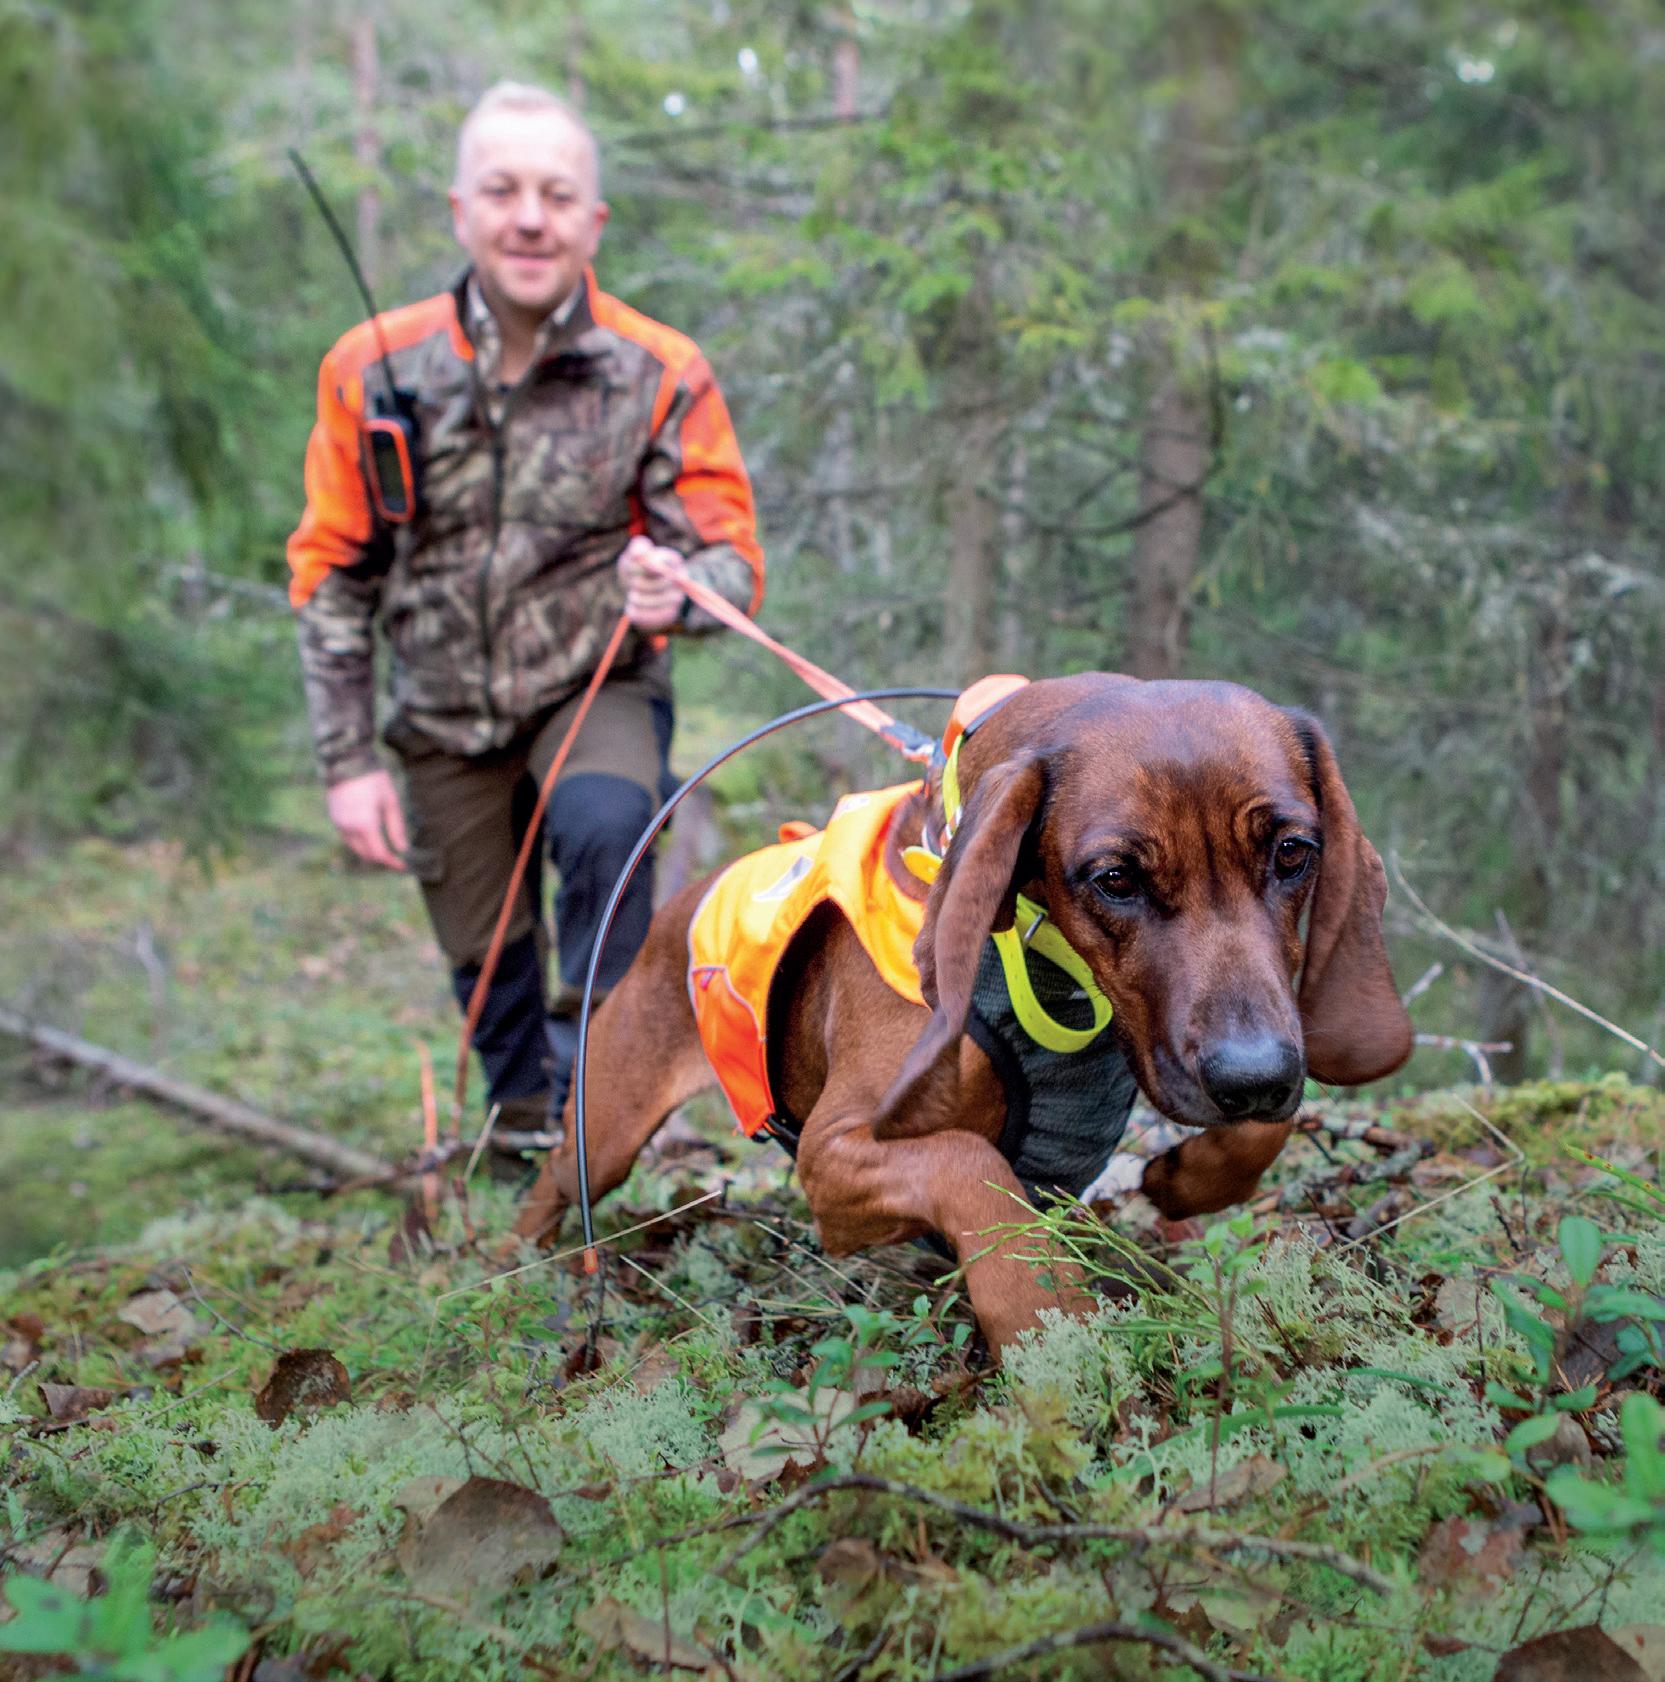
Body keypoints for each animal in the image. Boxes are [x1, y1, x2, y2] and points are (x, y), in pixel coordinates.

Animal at [512, 673, 1412, 1353]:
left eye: (1292, 853)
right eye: (1114, 879)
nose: (1251, 1075)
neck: (1042, 974)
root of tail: (684, 902)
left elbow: (1270, 1125)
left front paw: (1190, 1178)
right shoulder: (832, 1155)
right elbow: (968, 1167)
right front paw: (1043, 1312)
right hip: (607, 1129)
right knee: (553, 1181)